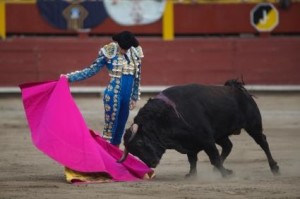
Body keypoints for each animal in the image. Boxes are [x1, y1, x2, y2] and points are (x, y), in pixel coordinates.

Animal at [117, 79, 278, 177]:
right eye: (133, 152)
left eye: (139, 143)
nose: (152, 163)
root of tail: (237, 89)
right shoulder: (190, 143)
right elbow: (192, 160)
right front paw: (191, 175)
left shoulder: (206, 139)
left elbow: (213, 157)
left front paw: (224, 174)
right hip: (220, 135)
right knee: (228, 146)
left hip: (253, 125)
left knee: (263, 143)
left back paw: (275, 168)